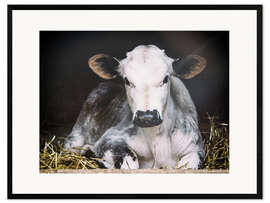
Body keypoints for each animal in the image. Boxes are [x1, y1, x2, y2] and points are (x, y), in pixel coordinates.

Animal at [65, 44, 207, 170]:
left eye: (165, 79)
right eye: (127, 81)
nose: (147, 117)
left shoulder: (196, 147)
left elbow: (188, 166)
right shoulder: (109, 138)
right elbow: (131, 164)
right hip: (77, 133)